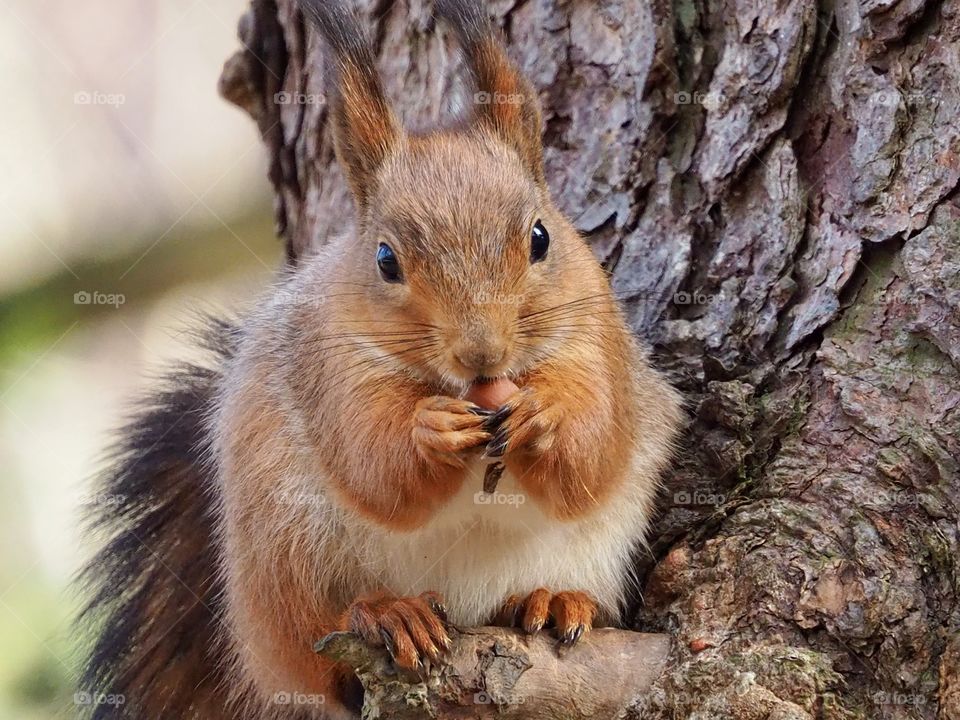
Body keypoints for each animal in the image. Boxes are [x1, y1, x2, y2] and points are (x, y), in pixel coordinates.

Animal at [77, 0, 682, 718]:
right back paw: (390, 615)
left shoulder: (600, 345)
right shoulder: (330, 367)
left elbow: (596, 450)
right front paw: (431, 430)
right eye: (386, 260)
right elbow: (374, 466)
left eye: (541, 237)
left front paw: (546, 415)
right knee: (315, 651)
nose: (482, 352)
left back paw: (549, 598)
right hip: (284, 557)